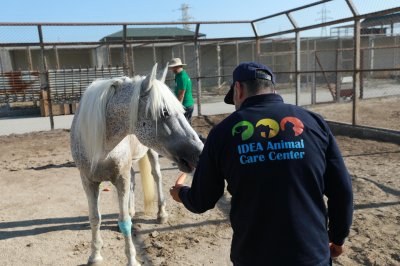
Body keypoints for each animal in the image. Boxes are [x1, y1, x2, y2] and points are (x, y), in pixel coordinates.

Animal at [69, 63, 205, 264]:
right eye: (164, 112)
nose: (200, 151)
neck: (102, 147)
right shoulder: (88, 181)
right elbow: (95, 218)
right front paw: (95, 255)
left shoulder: (121, 178)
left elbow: (124, 221)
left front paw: (132, 260)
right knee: (133, 181)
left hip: (152, 153)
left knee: (156, 176)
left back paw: (161, 214)